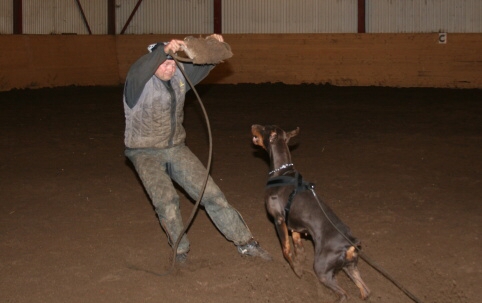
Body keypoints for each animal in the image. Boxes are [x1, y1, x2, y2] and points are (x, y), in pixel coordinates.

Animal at [250, 124, 370, 302]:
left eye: (263, 128)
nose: (253, 125)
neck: (282, 172)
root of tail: (350, 243)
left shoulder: (279, 220)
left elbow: (286, 250)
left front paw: (297, 270)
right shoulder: (294, 226)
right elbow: (298, 247)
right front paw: (300, 261)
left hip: (322, 268)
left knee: (344, 294)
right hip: (350, 267)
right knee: (365, 291)